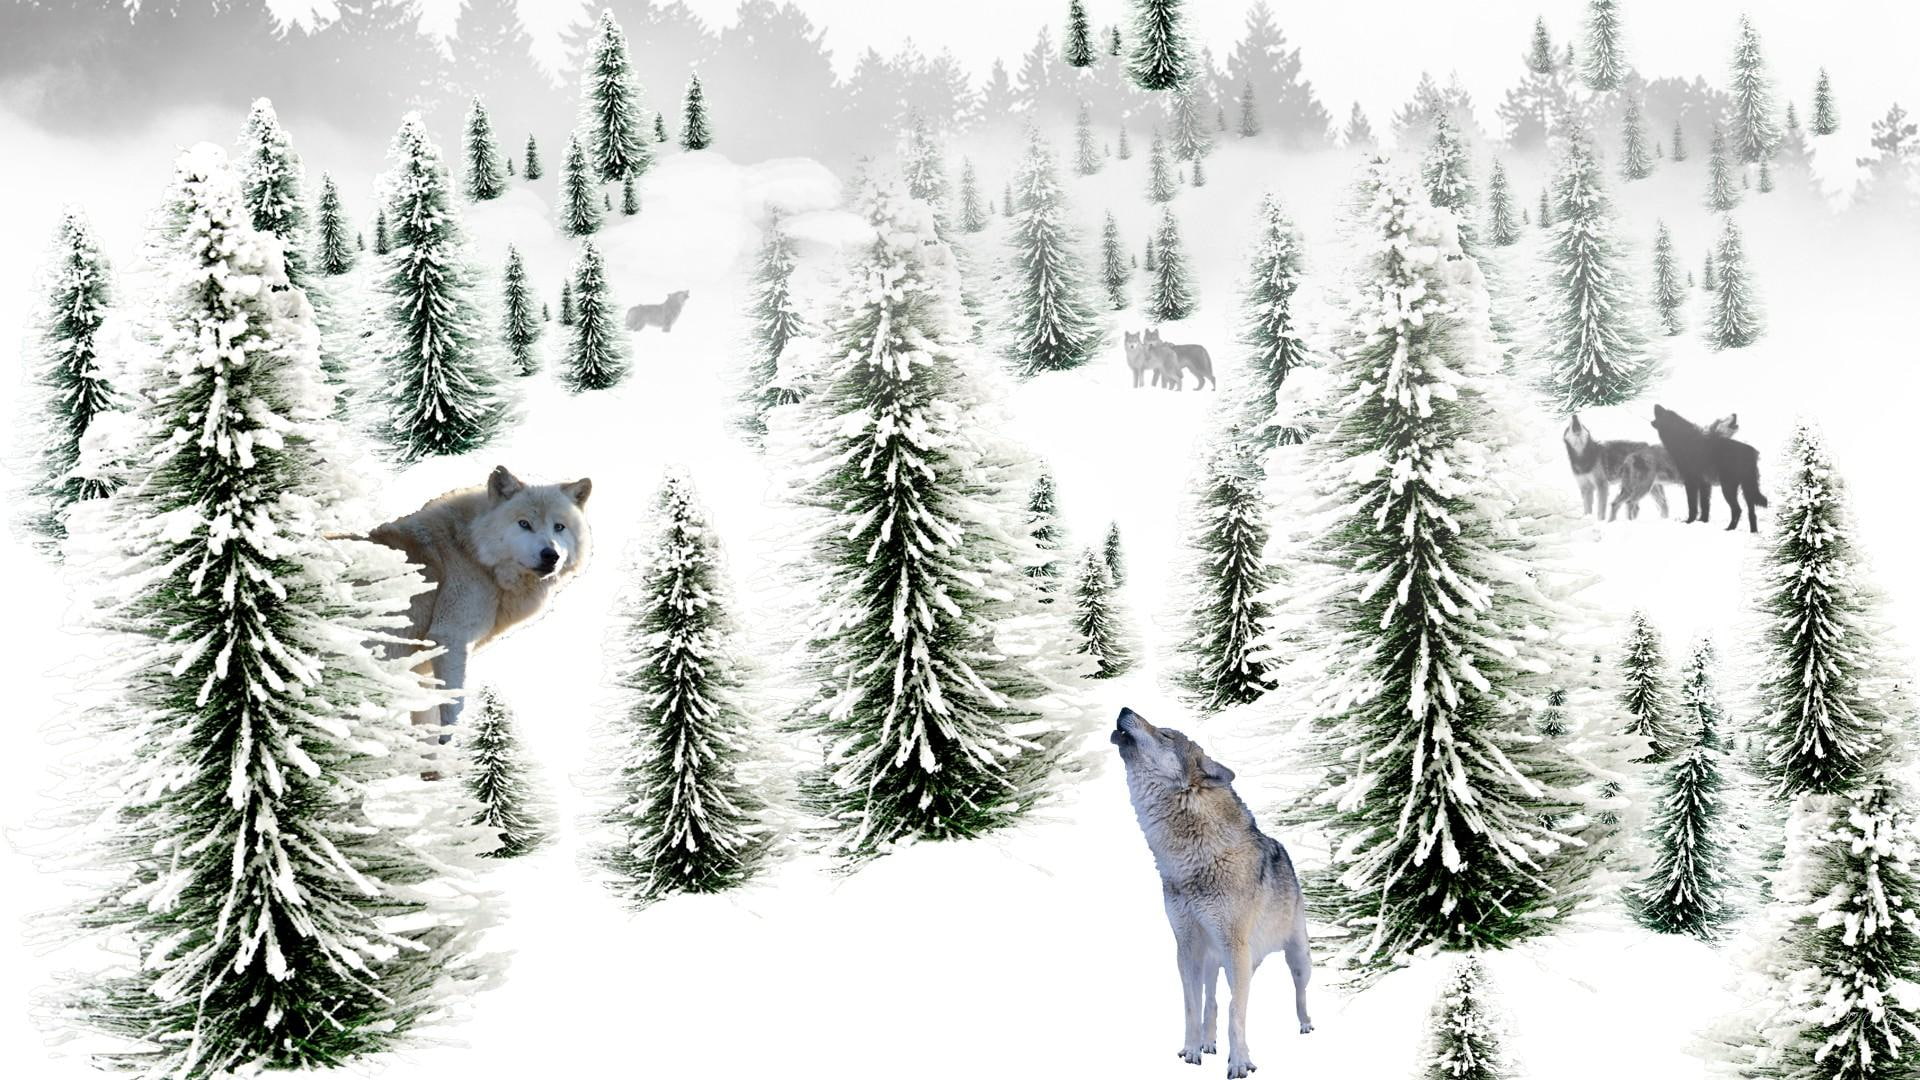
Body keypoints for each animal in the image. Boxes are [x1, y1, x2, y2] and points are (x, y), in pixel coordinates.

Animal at [365, 466, 592, 733]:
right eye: (524, 524)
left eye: (559, 527)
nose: (551, 555)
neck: (471, 551)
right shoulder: (450, 637)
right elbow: (452, 710)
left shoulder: (426, 670)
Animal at [1111, 707, 1312, 1079]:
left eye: (1164, 734)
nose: (1124, 710)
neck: (1193, 856)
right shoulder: (1186, 946)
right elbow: (1193, 1006)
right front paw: (1192, 1050)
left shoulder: (1235, 947)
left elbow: (1237, 1012)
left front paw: (1240, 1062)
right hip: (1213, 961)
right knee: (1212, 1000)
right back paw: (1207, 1042)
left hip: (1294, 959)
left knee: (1298, 993)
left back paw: (1305, 1025)